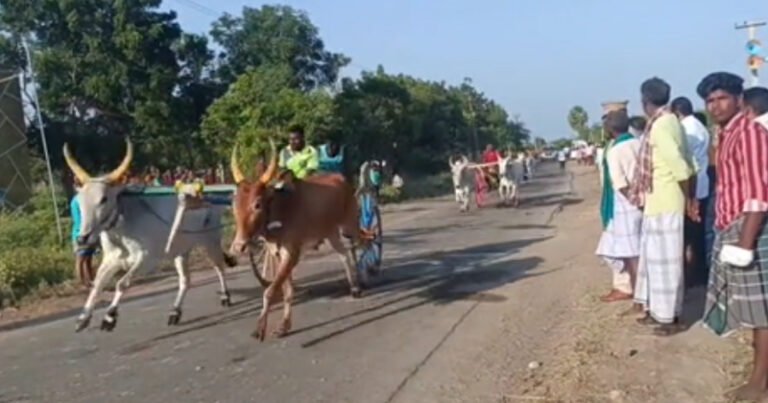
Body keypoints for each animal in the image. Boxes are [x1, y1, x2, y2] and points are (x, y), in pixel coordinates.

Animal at [64, 140, 255, 332]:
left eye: (103, 199)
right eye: (79, 200)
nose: (82, 238)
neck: (124, 225)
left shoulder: (147, 259)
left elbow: (122, 283)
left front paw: (110, 316)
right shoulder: (111, 260)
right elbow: (97, 285)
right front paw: (83, 317)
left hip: (211, 242)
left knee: (219, 268)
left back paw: (225, 296)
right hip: (181, 251)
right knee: (185, 280)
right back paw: (175, 311)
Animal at [230, 139, 362, 340]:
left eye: (257, 204)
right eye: (235, 204)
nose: (239, 246)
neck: (281, 210)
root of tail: (341, 178)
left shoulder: (292, 253)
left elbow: (270, 291)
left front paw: (260, 328)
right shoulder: (277, 254)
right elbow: (287, 291)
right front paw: (284, 325)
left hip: (350, 225)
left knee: (366, 241)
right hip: (331, 233)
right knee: (344, 254)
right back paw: (353, 287)